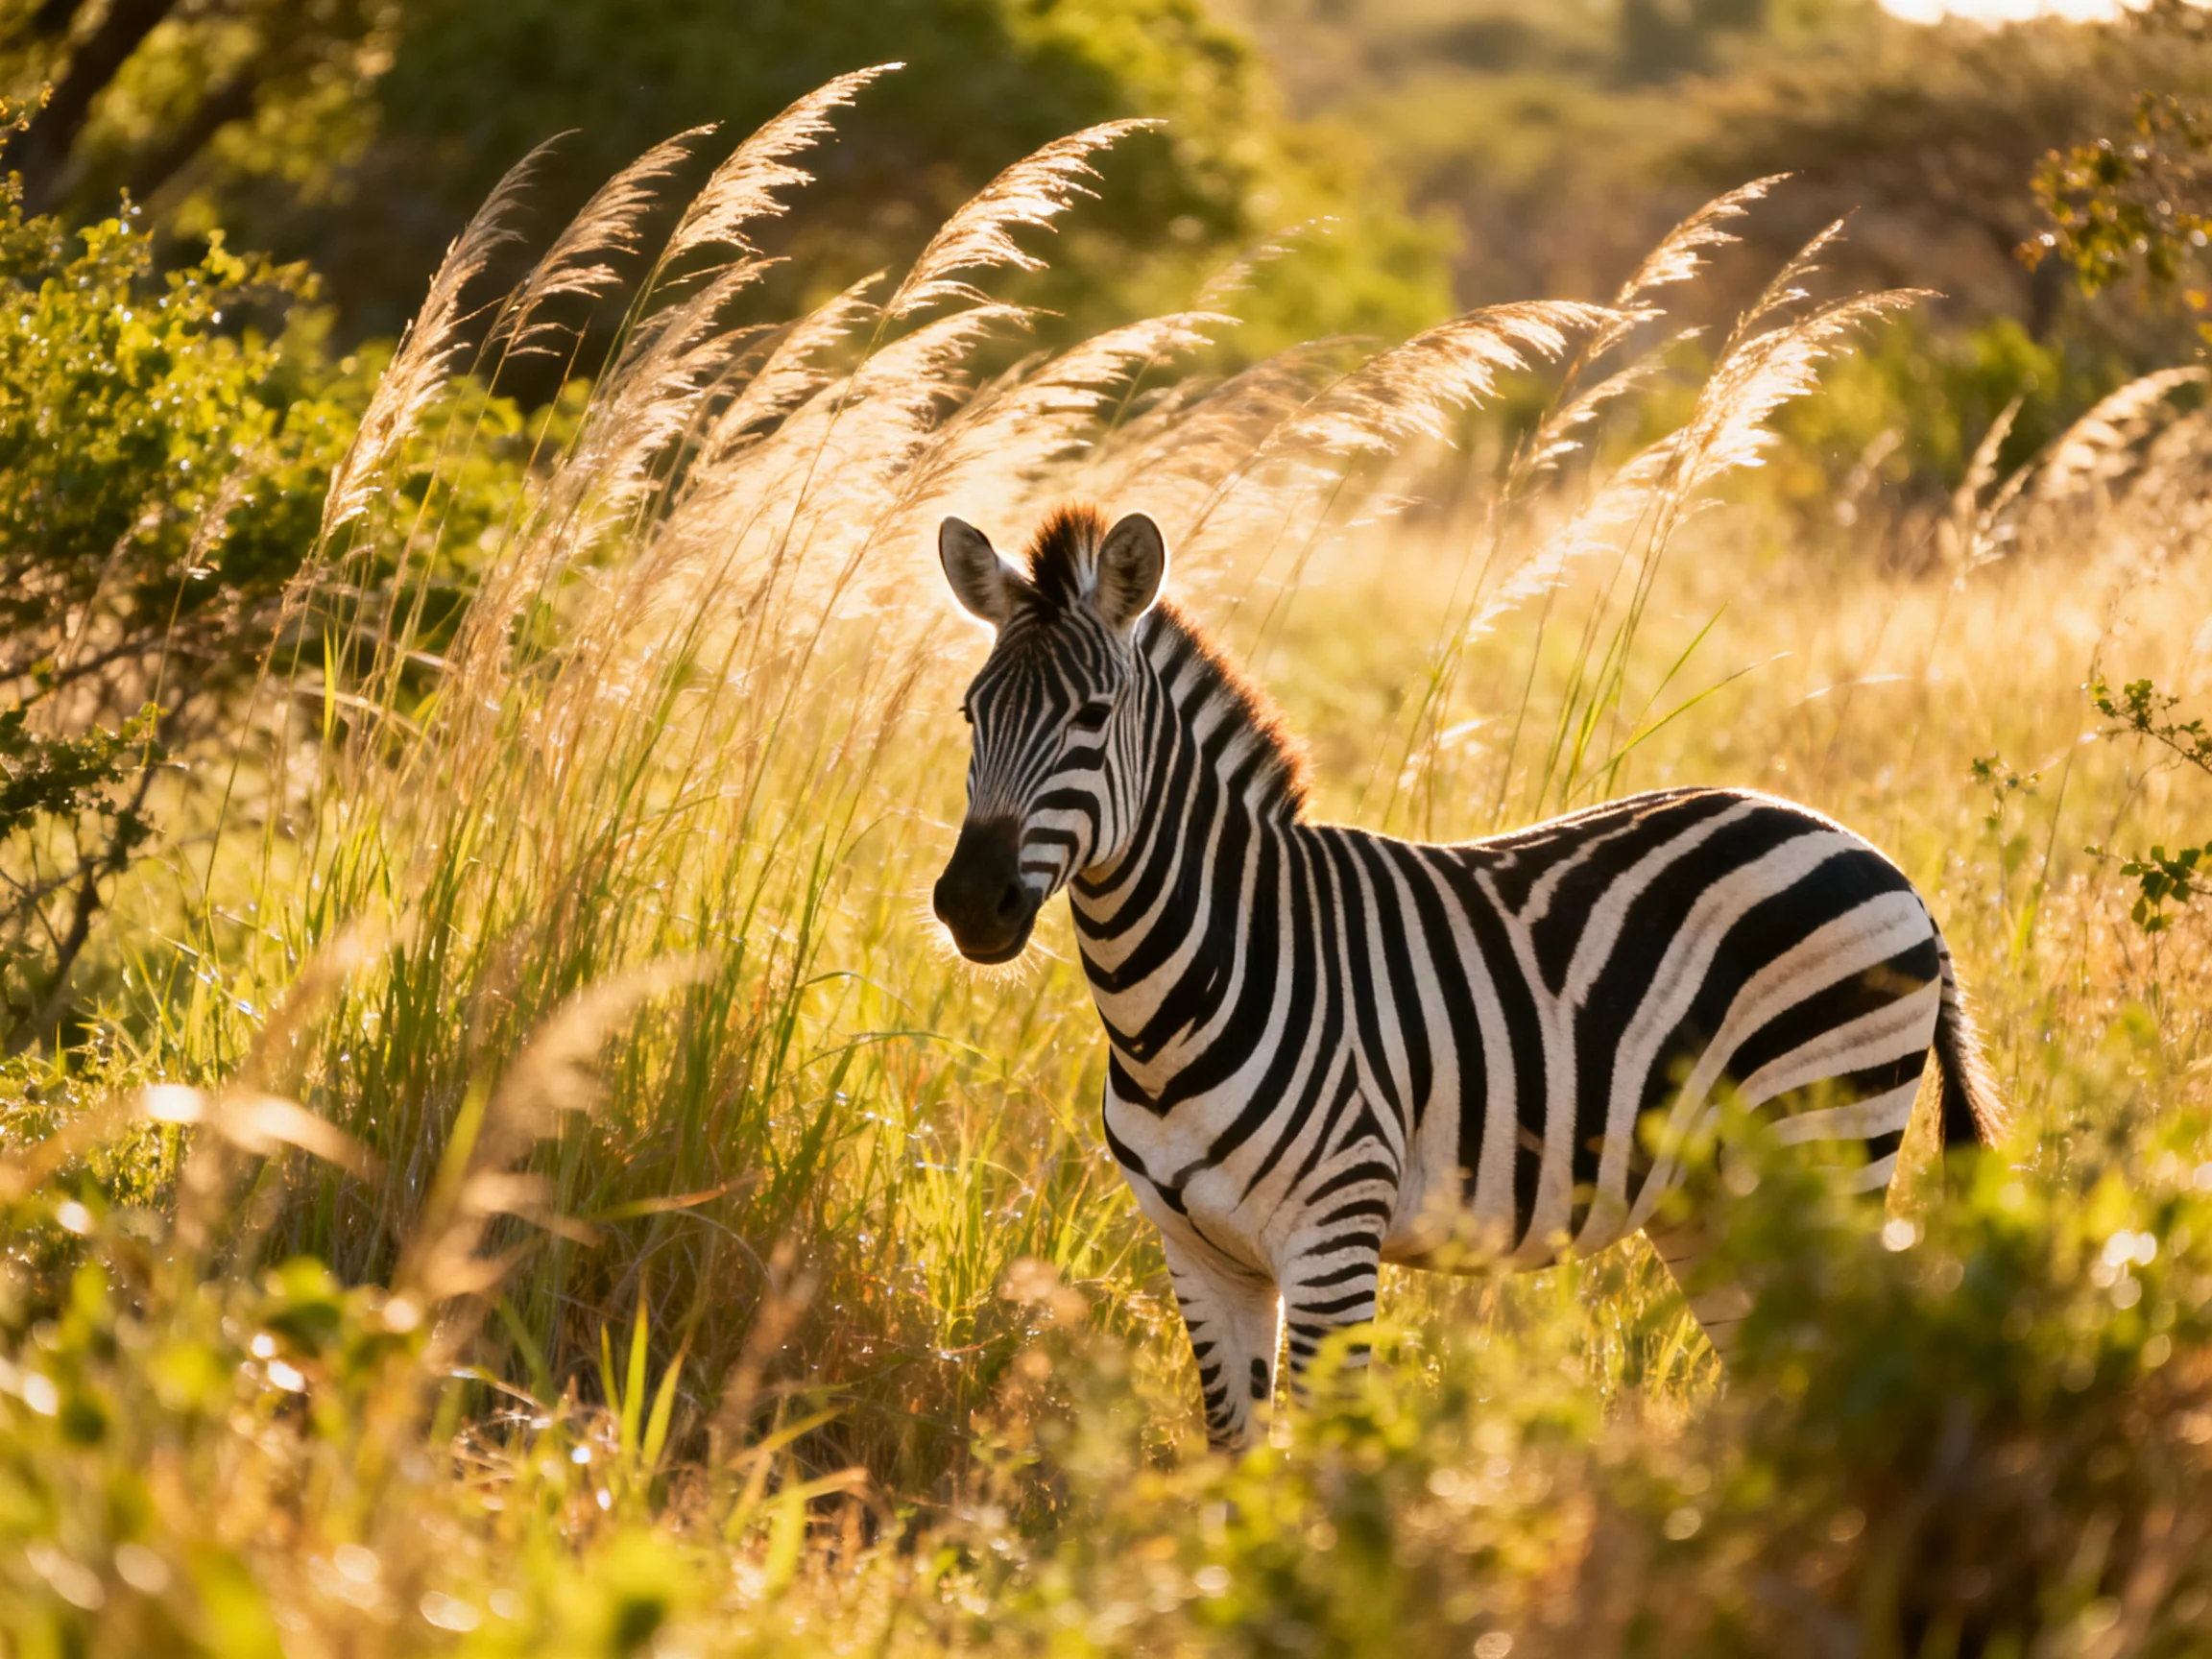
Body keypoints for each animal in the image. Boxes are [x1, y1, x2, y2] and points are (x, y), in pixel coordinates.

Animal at [931, 502, 2006, 1450]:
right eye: (971, 713)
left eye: (1093, 715)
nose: (971, 903)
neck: (1177, 1001)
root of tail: (1885, 864)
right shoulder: (1198, 1253)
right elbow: (1237, 1453)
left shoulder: (1332, 1237)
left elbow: (1327, 1457)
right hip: (1715, 1198)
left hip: (1825, 1139)